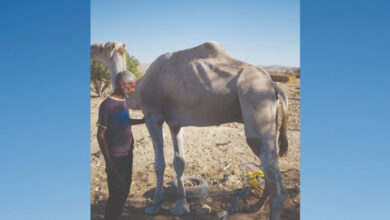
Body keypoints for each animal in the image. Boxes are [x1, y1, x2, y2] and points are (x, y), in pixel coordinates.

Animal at [90, 41, 288, 220]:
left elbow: (159, 164)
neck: (138, 88)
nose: (92, 48)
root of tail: (274, 85)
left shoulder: (153, 117)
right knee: (271, 163)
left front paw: (154, 205)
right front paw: (180, 207)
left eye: (103, 46)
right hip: (269, 116)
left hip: (255, 101)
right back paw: (255, 206)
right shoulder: (175, 123)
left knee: (273, 177)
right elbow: (180, 162)